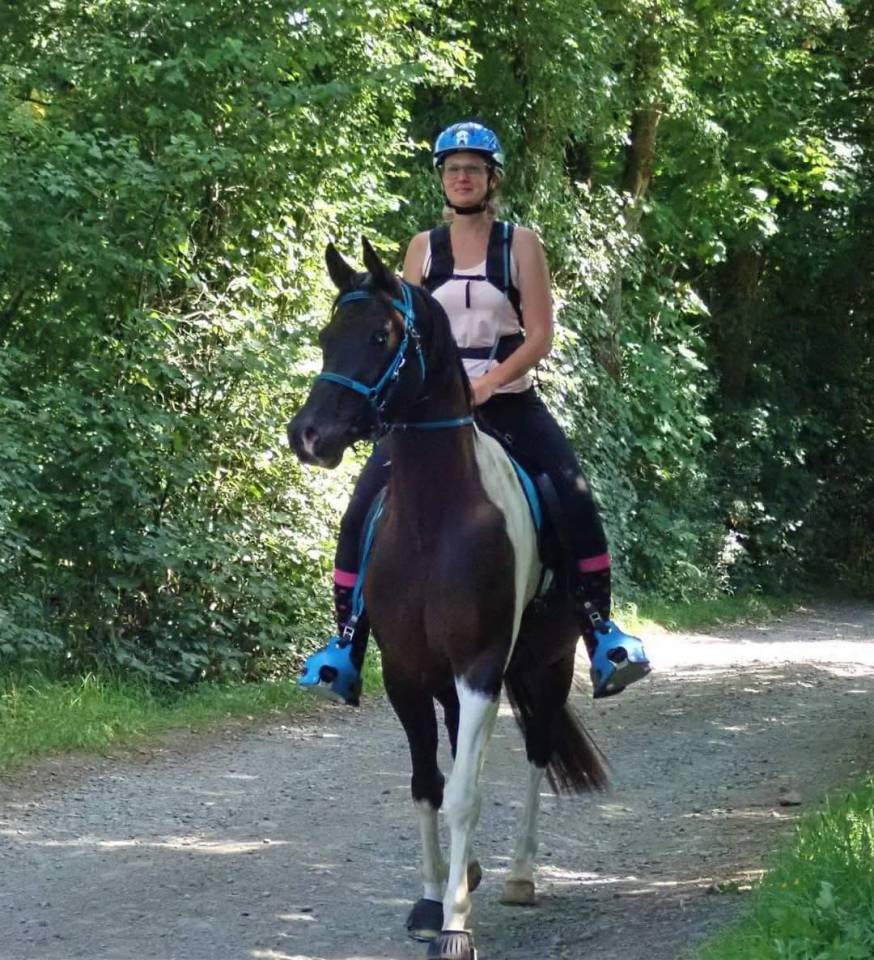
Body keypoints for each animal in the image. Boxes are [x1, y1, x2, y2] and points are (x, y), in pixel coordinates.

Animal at [288, 238, 607, 960]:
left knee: (538, 750)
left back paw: (518, 875)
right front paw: (435, 900)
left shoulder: (482, 666)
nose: (308, 435)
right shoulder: (406, 671)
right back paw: (477, 871)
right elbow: (427, 784)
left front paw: (458, 926)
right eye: (326, 336)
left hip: (551, 663)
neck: (435, 522)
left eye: (381, 336)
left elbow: (464, 793)